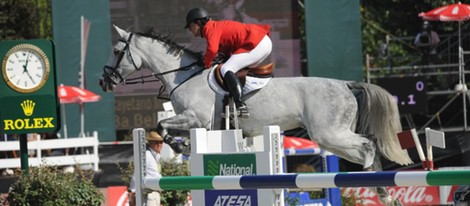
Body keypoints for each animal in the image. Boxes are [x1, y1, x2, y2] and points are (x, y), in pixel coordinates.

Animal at [99, 25, 412, 204]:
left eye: (116, 50)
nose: (104, 81)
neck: (182, 75)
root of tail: (346, 84)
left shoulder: (197, 119)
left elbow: (161, 124)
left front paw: (181, 145)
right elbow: (162, 125)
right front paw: (182, 144)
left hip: (329, 134)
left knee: (368, 145)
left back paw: (379, 187)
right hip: (330, 138)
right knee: (363, 150)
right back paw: (381, 190)